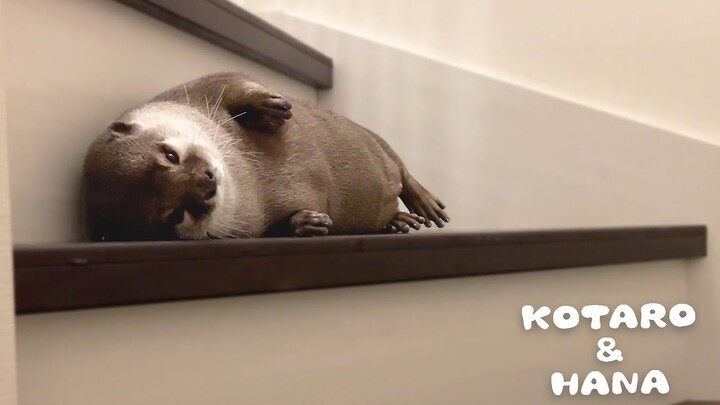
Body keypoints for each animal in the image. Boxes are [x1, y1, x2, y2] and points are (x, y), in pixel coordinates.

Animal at [82, 72, 449, 241]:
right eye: (175, 213)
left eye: (170, 154)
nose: (206, 182)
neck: (247, 172)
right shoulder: (251, 226)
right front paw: (307, 222)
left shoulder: (199, 88)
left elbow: (235, 83)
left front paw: (269, 108)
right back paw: (398, 220)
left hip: (371, 136)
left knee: (399, 166)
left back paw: (423, 203)